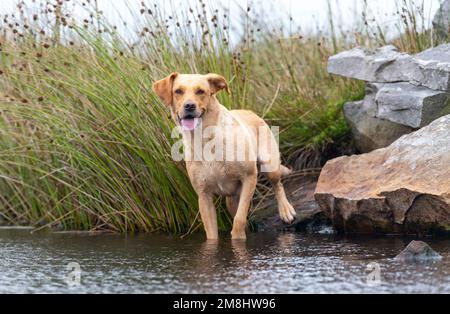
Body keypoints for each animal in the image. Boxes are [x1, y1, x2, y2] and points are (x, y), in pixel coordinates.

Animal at [153, 74, 298, 240]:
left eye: (200, 91)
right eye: (178, 91)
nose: (189, 106)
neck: (205, 140)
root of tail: (250, 112)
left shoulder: (249, 177)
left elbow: (239, 219)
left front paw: (238, 238)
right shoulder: (204, 196)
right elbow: (212, 232)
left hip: (269, 166)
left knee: (277, 185)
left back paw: (286, 210)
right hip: (231, 200)